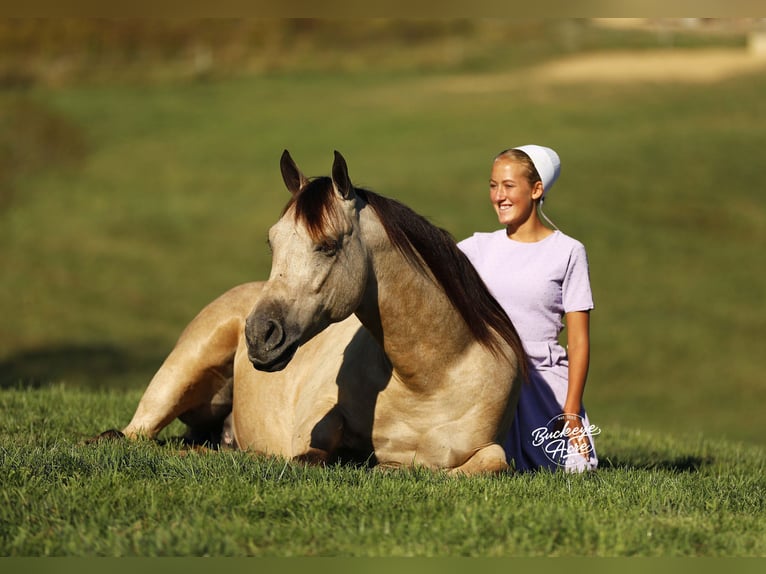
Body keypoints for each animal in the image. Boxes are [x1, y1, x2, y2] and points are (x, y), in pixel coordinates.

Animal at [103, 150, 526, 475]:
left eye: (327, 245)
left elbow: (493, 462)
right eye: (272, 243)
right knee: (132, 436)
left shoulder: (489, 450)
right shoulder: (313, 425)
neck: (430, 379)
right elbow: (310, 456)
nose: (259, 335)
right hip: (177, 378)